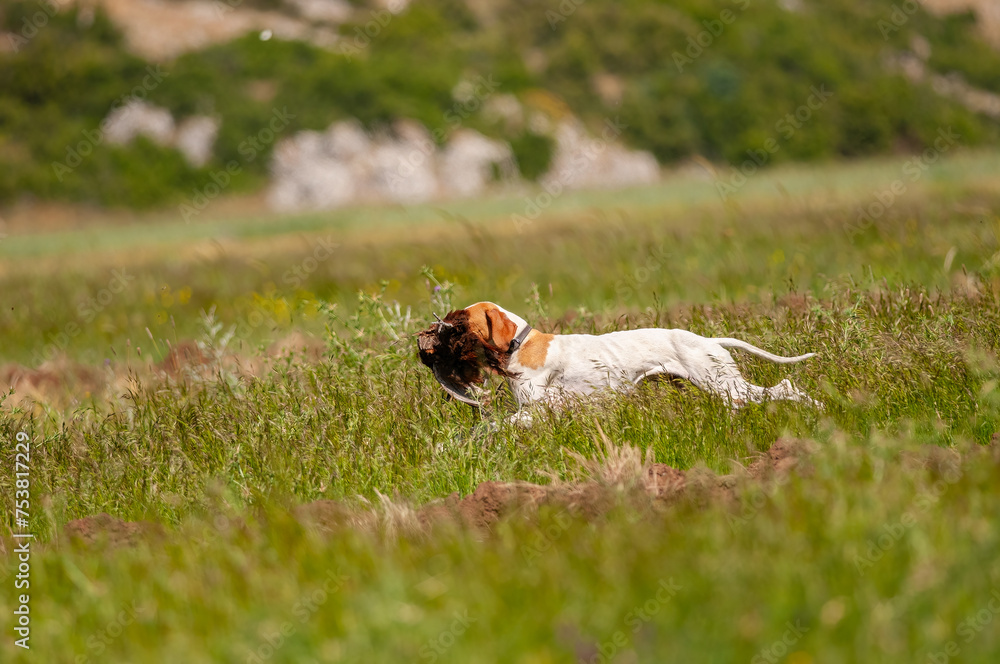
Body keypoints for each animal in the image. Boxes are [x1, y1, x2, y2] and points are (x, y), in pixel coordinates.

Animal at [418, 302, 816, 426]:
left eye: (460, 320)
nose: (434, 331)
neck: (522, 344)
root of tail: (709, 340)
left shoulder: (537, 408)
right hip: (722, 389)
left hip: (724, 384)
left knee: (785, 388)